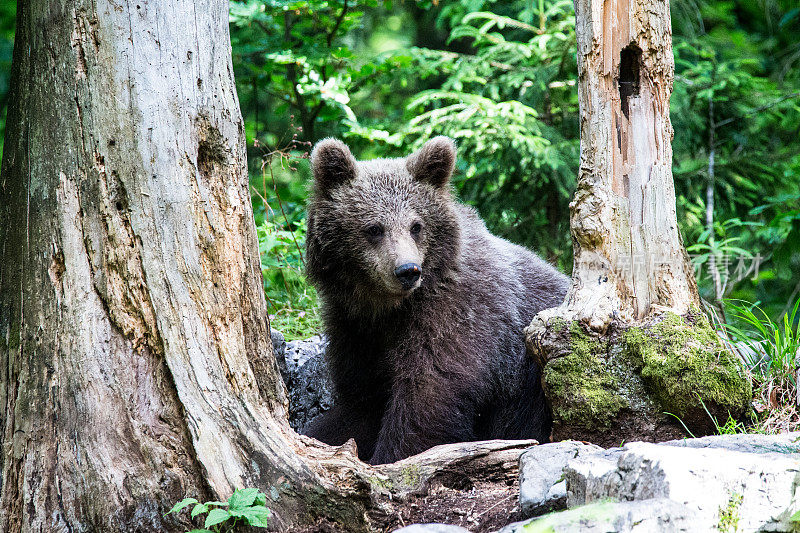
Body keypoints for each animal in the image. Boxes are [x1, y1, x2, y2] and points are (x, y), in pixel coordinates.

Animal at [302, 136, 568, 462]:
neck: (387, 306)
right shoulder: (355, 329)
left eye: (416, 225)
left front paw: (391, 456)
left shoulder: (457, 315)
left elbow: (428, 396)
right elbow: (360, 402)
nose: (407, 270)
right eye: (374, 228)